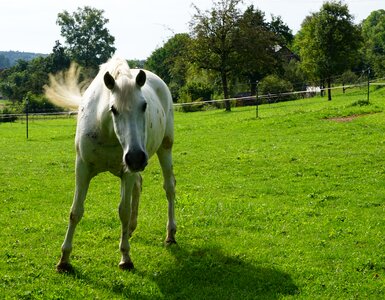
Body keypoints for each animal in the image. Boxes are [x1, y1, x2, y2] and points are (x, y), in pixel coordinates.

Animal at [45, 56, 176, 272]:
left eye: (144, 106)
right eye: (113, 109)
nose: (136, 157)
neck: (105, 129)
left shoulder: (126, 172)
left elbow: (123, 211)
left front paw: (125, 257)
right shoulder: (82, 168)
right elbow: (75, 211)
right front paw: (64, 259)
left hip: (165, 148)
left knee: (169, 188)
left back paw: (170, 235)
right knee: (139, 185)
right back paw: (131, 229)